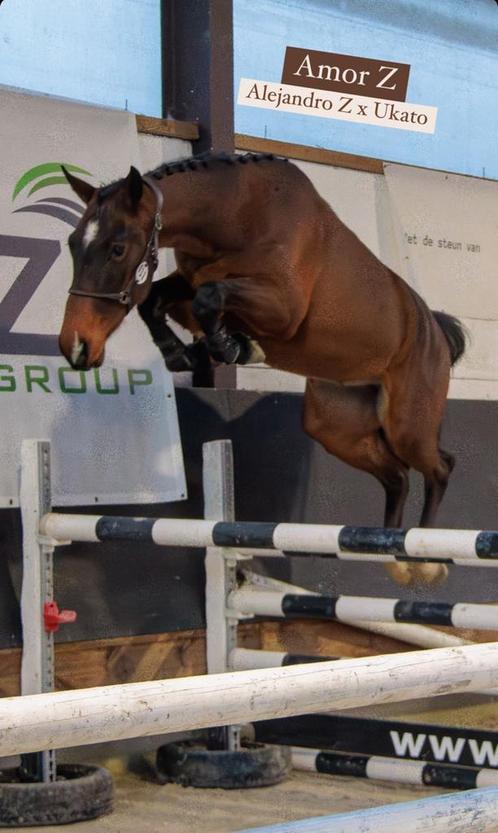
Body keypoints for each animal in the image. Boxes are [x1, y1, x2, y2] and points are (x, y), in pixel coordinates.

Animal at [59, 154, 466, 584]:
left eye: (118, 249)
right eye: (72, 245)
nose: (76, 345)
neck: (237, 214)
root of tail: (435, 329)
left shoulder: (283, 308)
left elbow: (208, 297)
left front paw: (229, 346)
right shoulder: (191, 280)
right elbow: (158, 298)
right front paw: (184, 353)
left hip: (407, 425)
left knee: (439, 467)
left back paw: (425, 562)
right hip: (337, 426)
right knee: (398, 476)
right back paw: (391, 555)